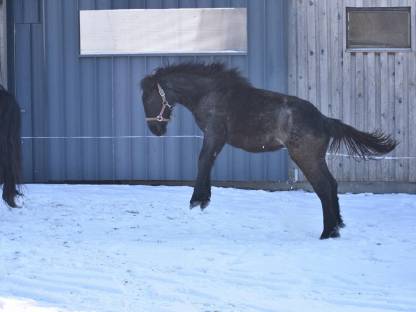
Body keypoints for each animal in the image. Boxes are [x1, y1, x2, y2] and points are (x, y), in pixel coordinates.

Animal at [141, 62, 398, 239]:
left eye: (148, 97)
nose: (155, 129)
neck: (211, 94)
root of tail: (323, 119)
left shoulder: (214, 135)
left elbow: (203, 160)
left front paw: (198, 201)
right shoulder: (215, 138)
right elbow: (208, 161)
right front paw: (204, 199)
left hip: (305, 158)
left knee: (324, 187)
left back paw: (327, 232)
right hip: (316, 159)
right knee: (332, 185)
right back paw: (335, 229)